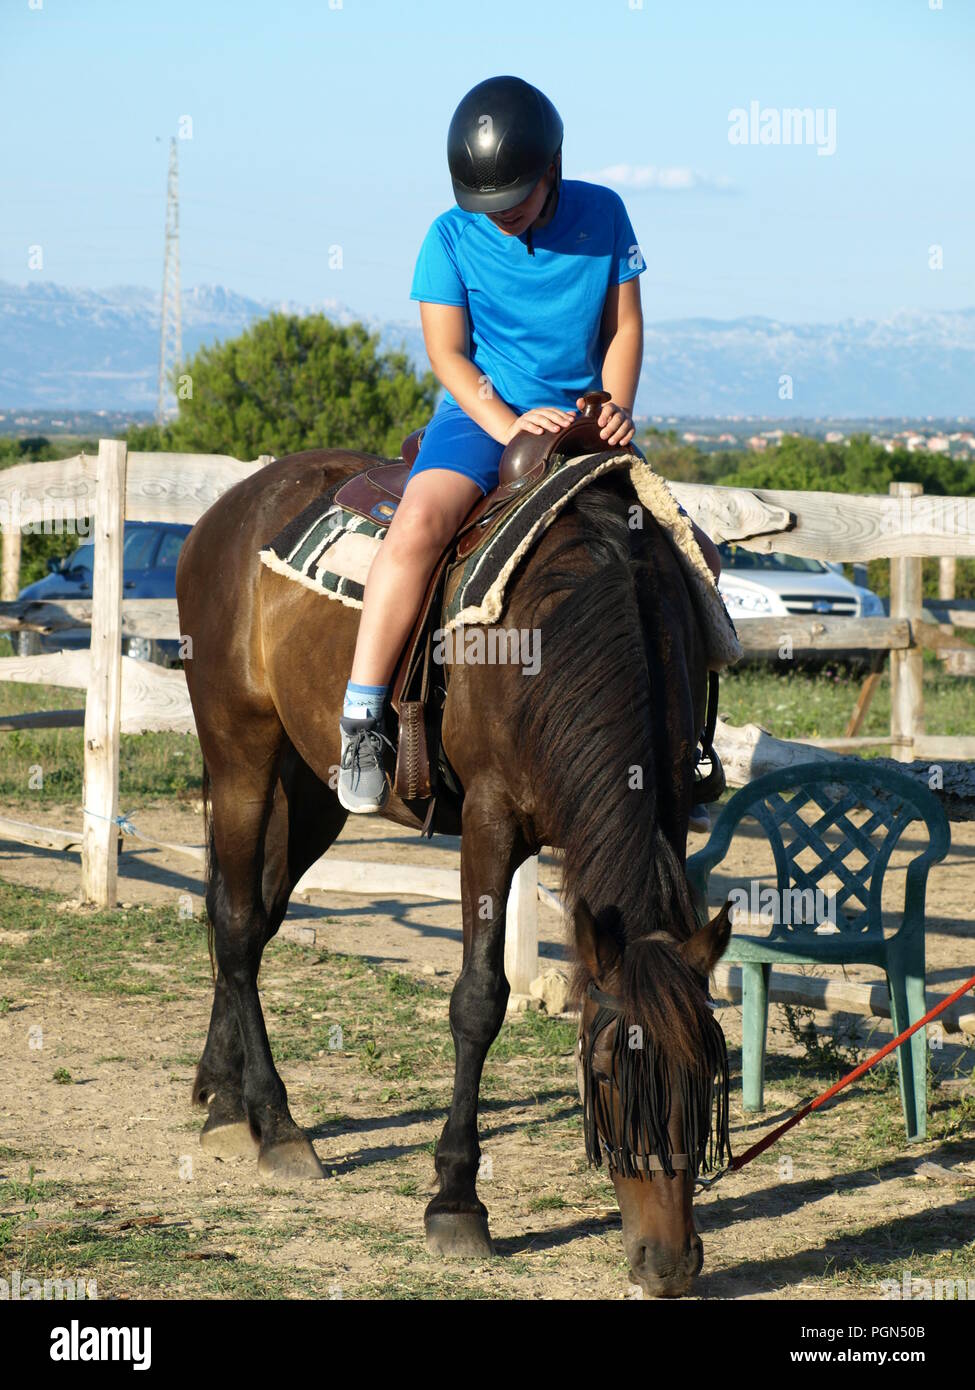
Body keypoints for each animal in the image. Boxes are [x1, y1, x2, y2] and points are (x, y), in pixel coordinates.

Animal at [175, 448, 733, 1298]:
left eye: (707, 1072)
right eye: (602, 1073)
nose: (667, 1263)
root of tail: (233, 505)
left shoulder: (667, 802)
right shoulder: (489, 823)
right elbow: (478, 1001)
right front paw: (455, 1200)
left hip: (311, 788)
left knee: (251, 916)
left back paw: (223, 1099)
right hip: (240, 751)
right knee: (235, 924)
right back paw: (276, 1124)